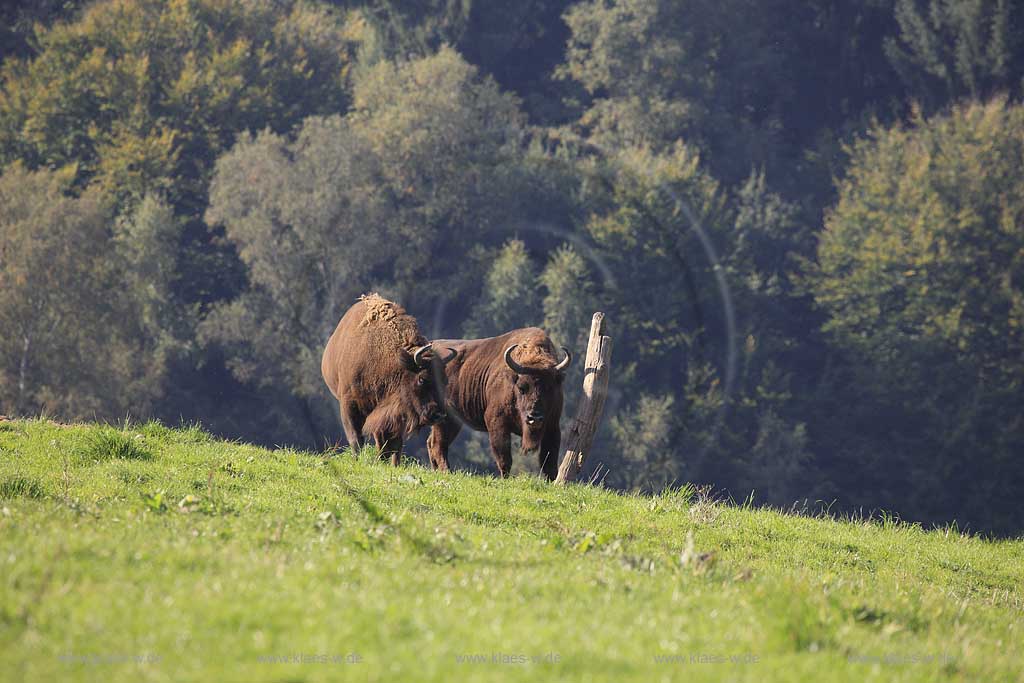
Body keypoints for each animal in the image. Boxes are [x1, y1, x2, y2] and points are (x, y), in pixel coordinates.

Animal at [321, 294, 454, 464]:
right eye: (422, 379)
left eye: (444, 381)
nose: (439, 415)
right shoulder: (348, 404)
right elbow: (356, 439)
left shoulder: (392, 414)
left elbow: (393, 443)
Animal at [423, 329, 569, 481]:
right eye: (522, 387)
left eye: (549, 388)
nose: (534, 418)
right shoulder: (497, 423)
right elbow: (504, 457)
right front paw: (506, 479)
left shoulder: (552, 426)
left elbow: (549, 461)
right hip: (444, 419)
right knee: (438, 445)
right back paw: (447, 471)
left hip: (453, 422)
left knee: (432, 442)